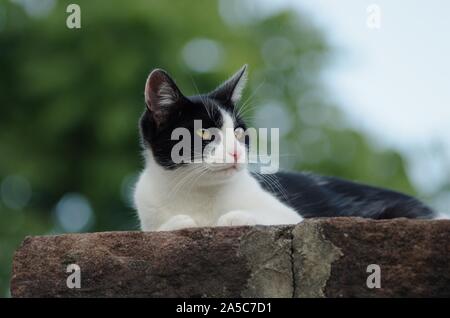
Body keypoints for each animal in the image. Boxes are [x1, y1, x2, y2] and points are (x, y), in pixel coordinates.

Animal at [132, 64, 434, 231]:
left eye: (239, 133)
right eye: (205, 132)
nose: (236, 152)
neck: (196, 192)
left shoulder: (288, 215)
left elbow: (264, 217)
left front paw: (231, 218)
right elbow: (160, 228)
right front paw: (181, 222)